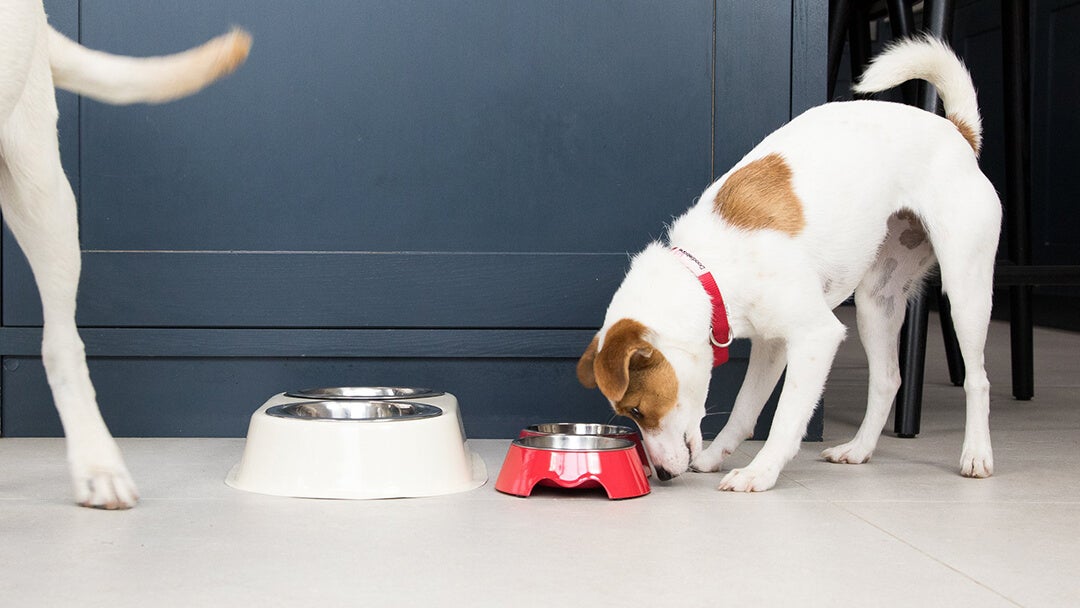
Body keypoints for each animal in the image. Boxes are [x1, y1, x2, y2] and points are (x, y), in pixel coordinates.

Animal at [578, 38, 997, 492]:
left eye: (637, 410)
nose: (666, 476)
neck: (711, 271)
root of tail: (957, 132)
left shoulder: (815, 338)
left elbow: (784, 418)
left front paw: (760, 471)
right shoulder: (772, 345)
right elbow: (745, 409)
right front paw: (715, 458)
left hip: (965, 290)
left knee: (977, 378)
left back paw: (976, 454)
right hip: (877, 303)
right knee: (887, 380)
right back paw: (859, 450)